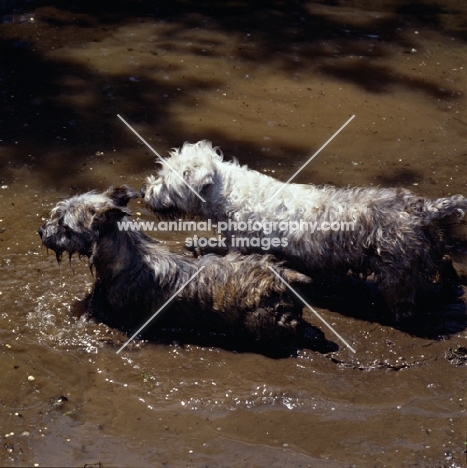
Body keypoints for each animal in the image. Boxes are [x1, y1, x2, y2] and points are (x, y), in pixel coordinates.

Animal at [143, 140, 467, 322]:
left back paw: (401, 312)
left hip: (394, 264)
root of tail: (422, 208)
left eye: (165, 179)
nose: (145, 192)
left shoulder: (246, 245)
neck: (227, 193)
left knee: (405, 290)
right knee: (443, 261)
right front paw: (198, 242)